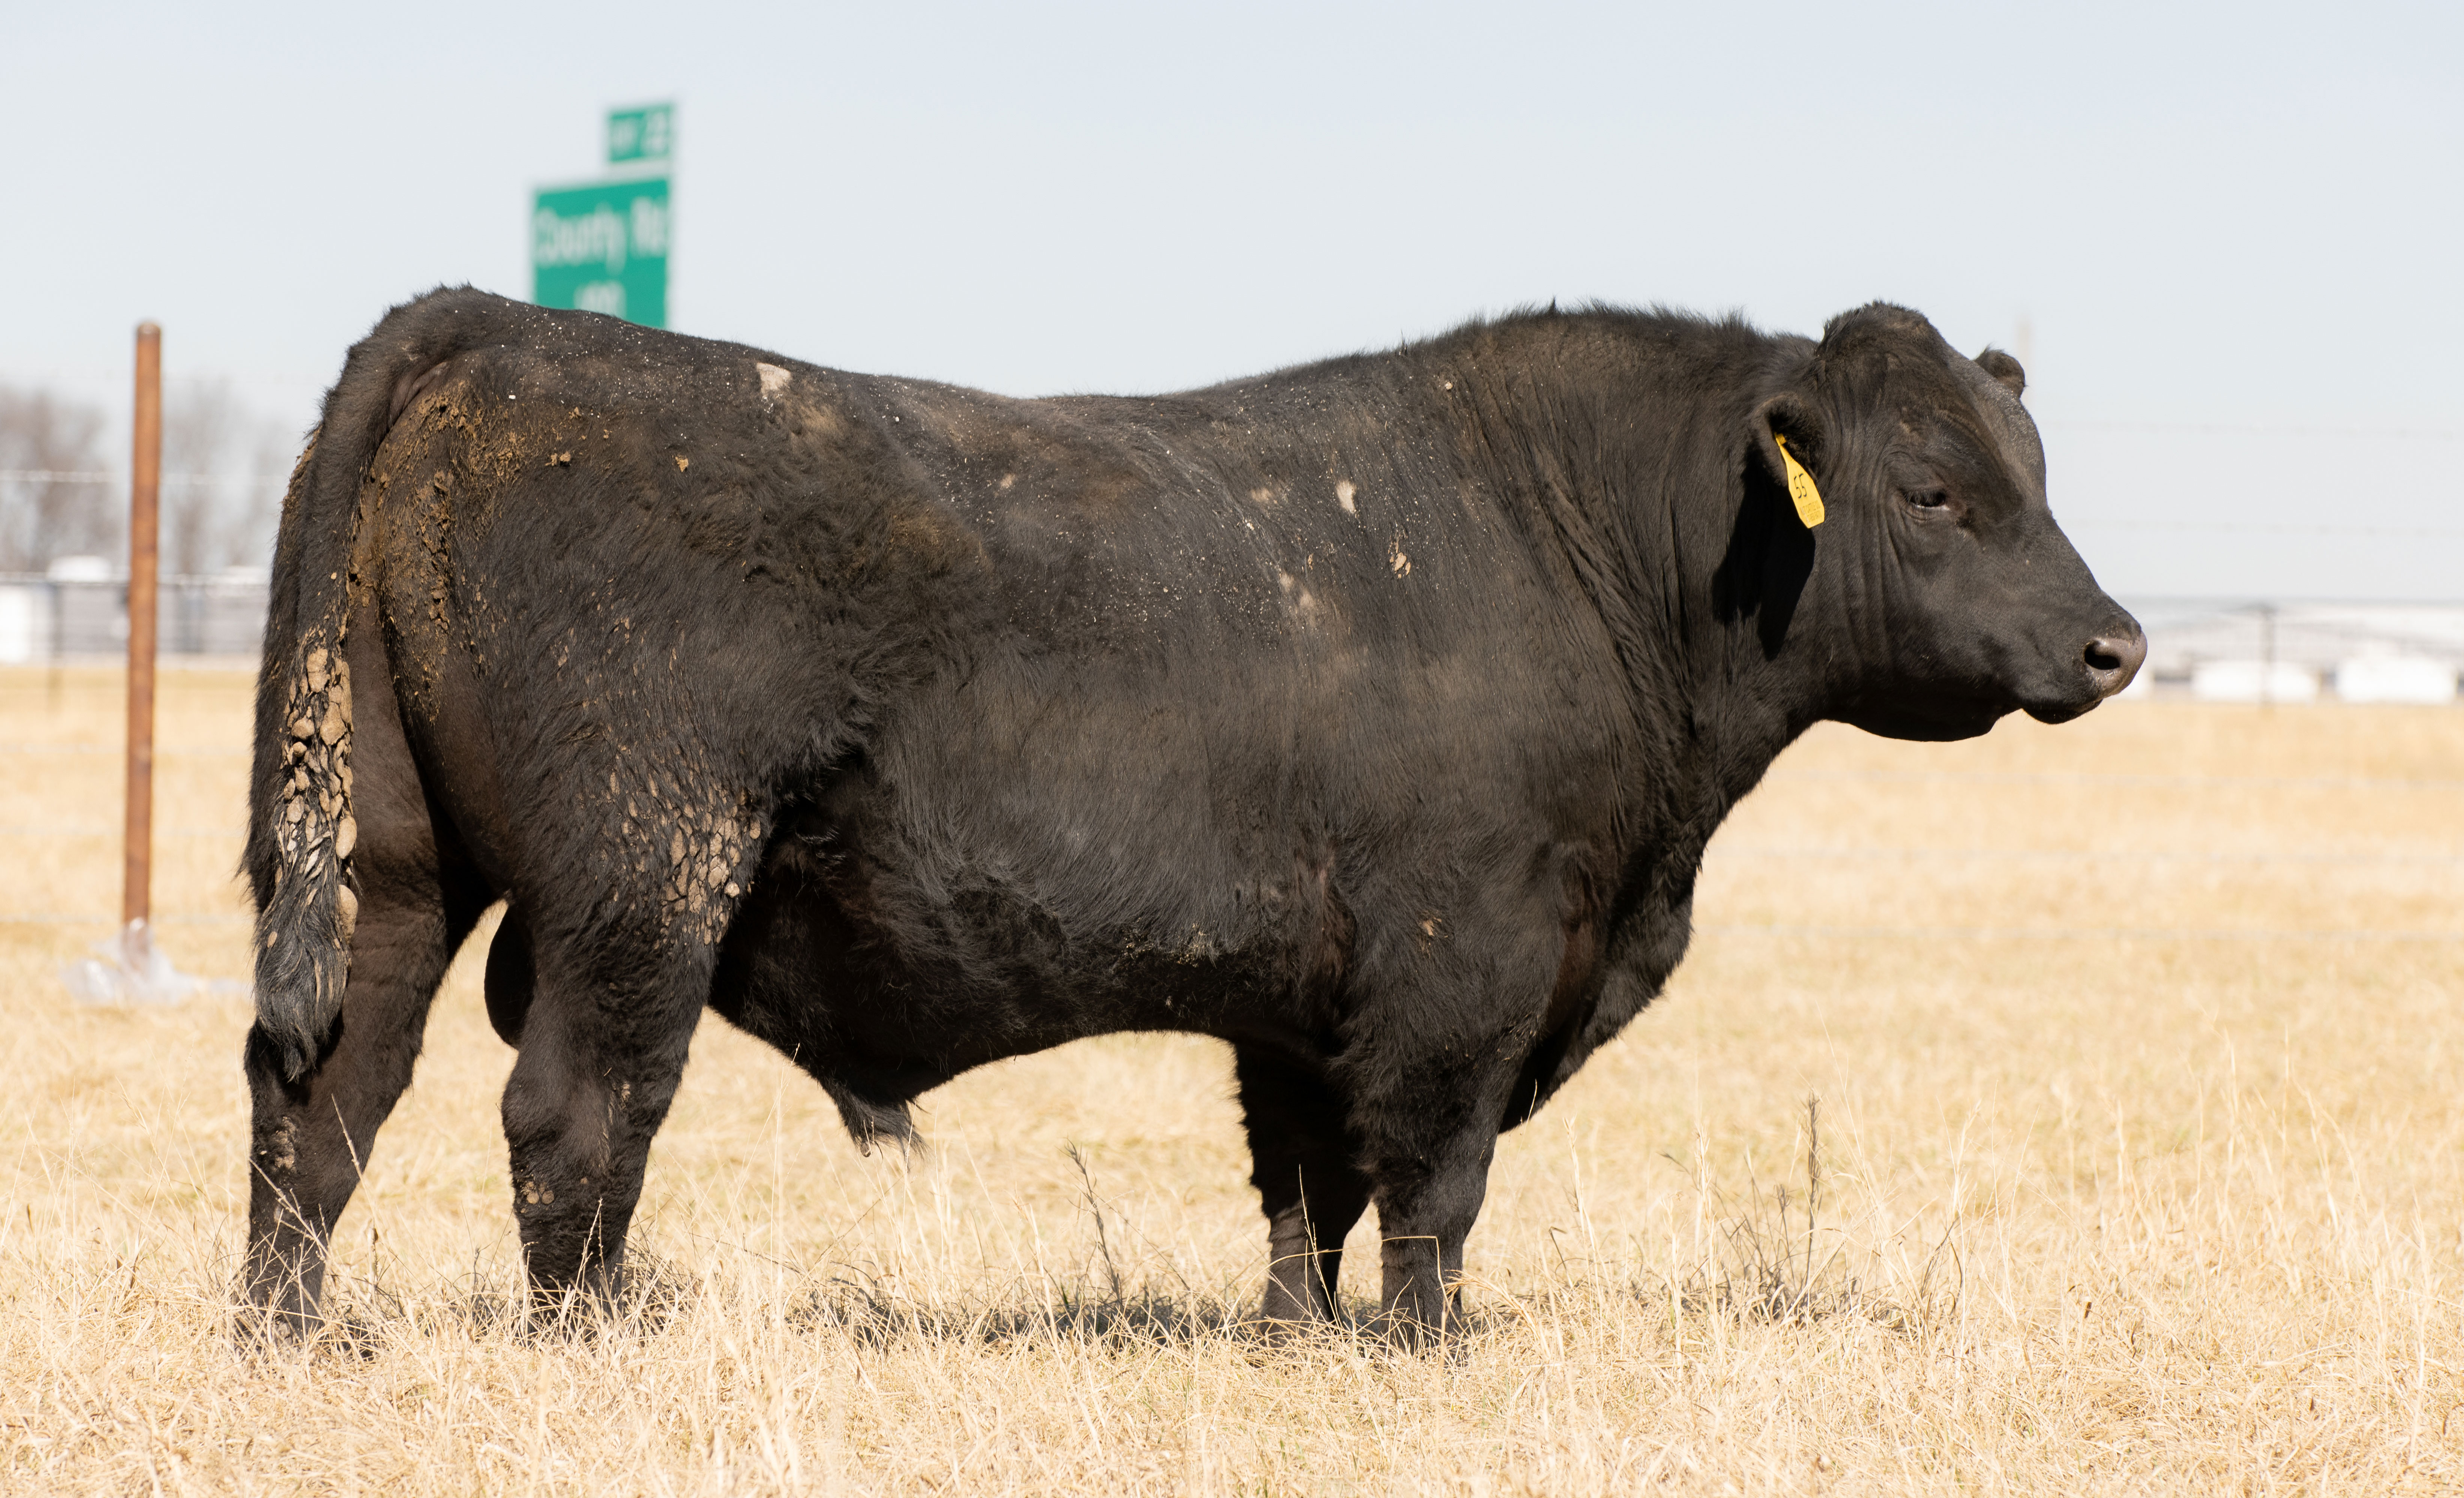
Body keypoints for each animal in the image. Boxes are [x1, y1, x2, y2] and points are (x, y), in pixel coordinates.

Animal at [240, 287, 2143, 1341]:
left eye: (2035, 475)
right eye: (1931, 490)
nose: (2111, 643)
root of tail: (500, 324)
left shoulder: (1304, 1000)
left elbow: (1305, 1186)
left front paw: (1299, 1333)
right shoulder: (1462, 961)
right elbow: (1430, 1181)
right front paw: (1429, 1349)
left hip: (392, 869)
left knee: (320, 1096)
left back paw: (290, 1333)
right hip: (641, 880)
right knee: (576, 1113)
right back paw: (593, 1338)